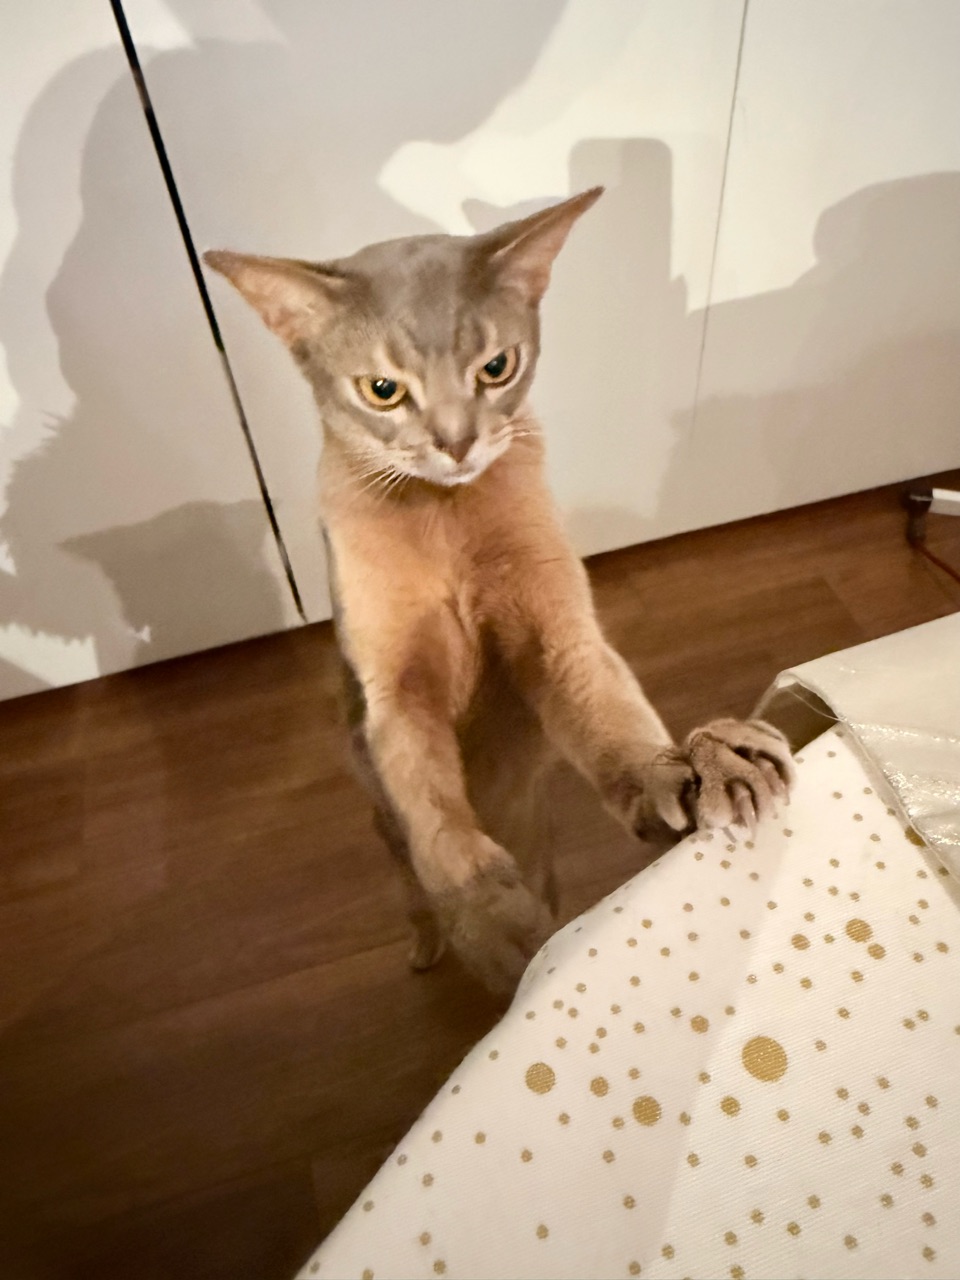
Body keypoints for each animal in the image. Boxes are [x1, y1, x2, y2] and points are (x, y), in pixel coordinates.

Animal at [204, 188, 793, 995]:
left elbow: (611, 719)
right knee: (411, 887)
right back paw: (430, 949)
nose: (457, 443)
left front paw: (697, 770)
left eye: (496, 366)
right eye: (382, 390)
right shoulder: (393, 690)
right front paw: (487, 916)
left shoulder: (557, 635)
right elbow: (431, 807)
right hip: (384, 839)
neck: (443, 517)